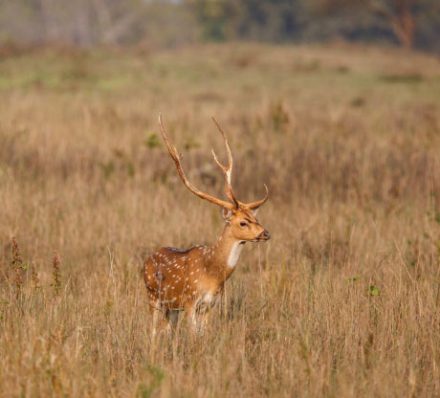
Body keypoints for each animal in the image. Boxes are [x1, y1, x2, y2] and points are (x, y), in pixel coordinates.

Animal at [143, 116, 270, 336]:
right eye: (243, 222)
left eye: (256, 219)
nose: (265, 233)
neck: (214, 274)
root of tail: (144, 262)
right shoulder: (190, 301)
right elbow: (194, 336)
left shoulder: (210, 305)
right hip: (153, 297)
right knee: (152, 331)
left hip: (171, 308)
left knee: (167, 331)